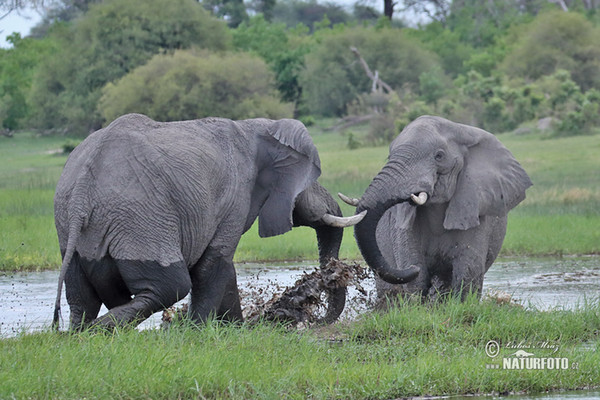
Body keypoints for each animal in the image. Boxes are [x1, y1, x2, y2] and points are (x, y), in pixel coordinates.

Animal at [52, 113, 366, 332]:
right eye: (309, 181)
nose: (314, 321)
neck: (258, 128)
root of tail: (81, 191)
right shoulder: (236, 195)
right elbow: (216, 261)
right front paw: (199, 332)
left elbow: (220, 267)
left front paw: (235, 329)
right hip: (140, 219)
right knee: (171, 285)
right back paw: (99, 330)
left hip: (72, 227)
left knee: (81, 297)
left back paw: (81, 333)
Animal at [344, 115, 532, 300]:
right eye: (389, 156)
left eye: (439, 156)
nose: (410, 270)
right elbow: (416, 275)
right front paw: (416, 276)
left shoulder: (475, 207)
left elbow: (468, 274)